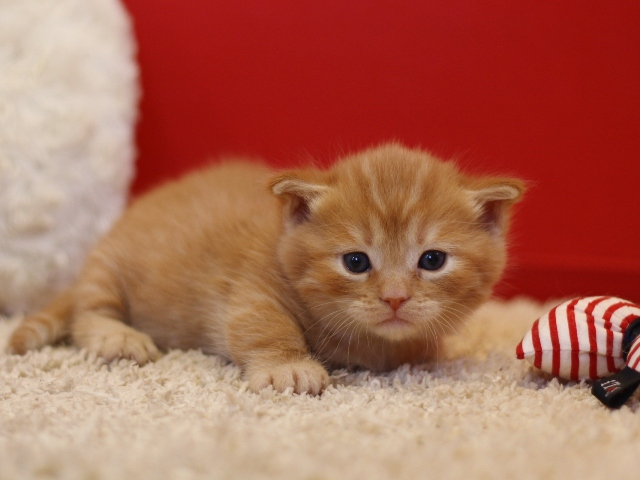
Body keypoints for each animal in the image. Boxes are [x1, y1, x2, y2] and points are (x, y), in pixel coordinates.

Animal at [6, 142, 524, 394]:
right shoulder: (252, 289)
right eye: (356, 262)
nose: (395, 298)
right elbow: (263, 325)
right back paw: (117, 337)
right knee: (88, 312)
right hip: (108, 270)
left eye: (432, 260)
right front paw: (289, 368)